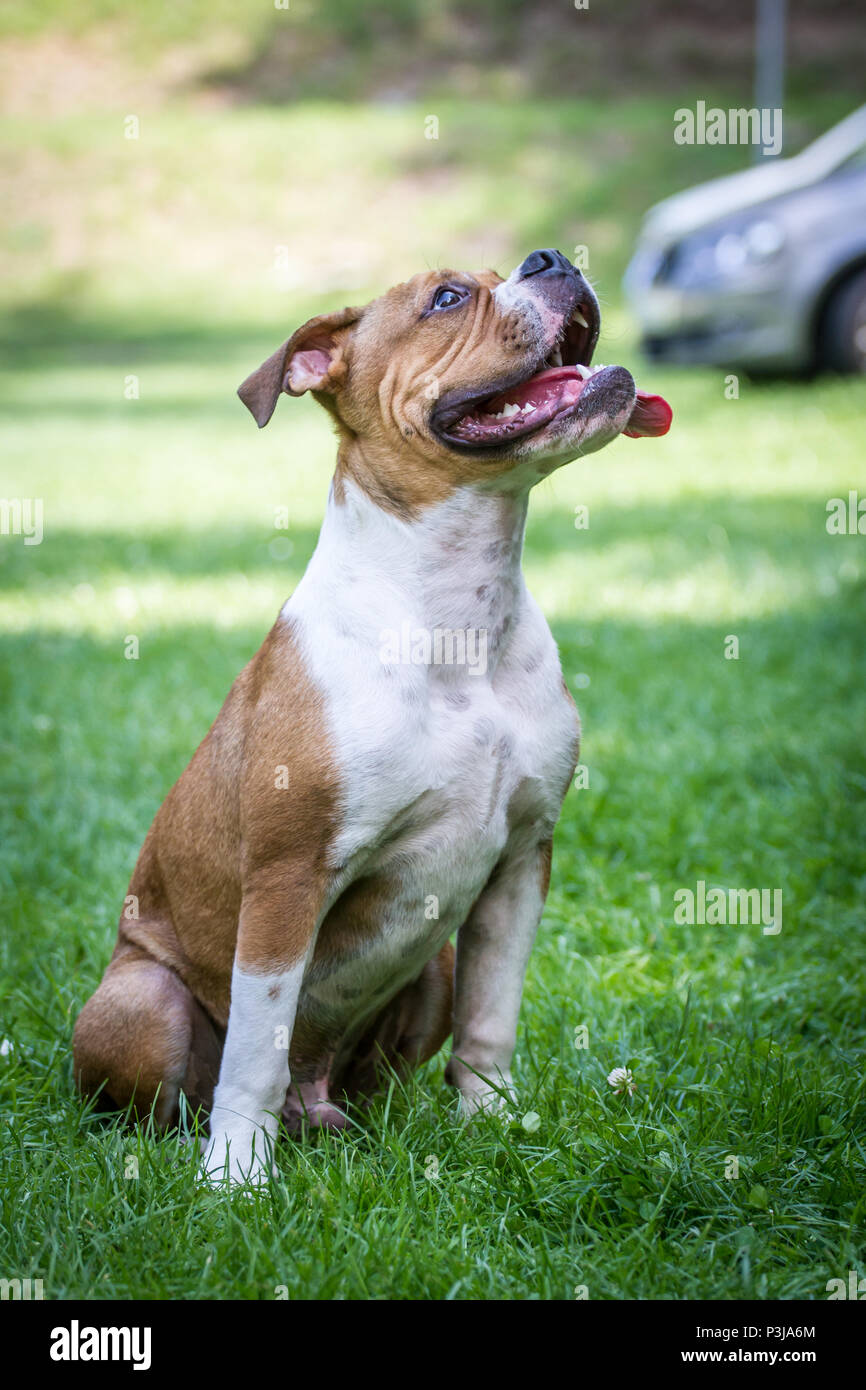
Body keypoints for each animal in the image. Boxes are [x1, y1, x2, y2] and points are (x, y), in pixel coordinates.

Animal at [72, 250, 670, 1184]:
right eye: (448, 297)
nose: (553, 259)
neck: (456, 615)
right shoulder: (288, 879)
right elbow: (256, 1045)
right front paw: (235, 1178)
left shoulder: (521, 862)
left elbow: (491, 1022)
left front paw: (493, 1124)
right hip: (142, 998)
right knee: (181, 1096)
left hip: (434, 968)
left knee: (361, 1075)